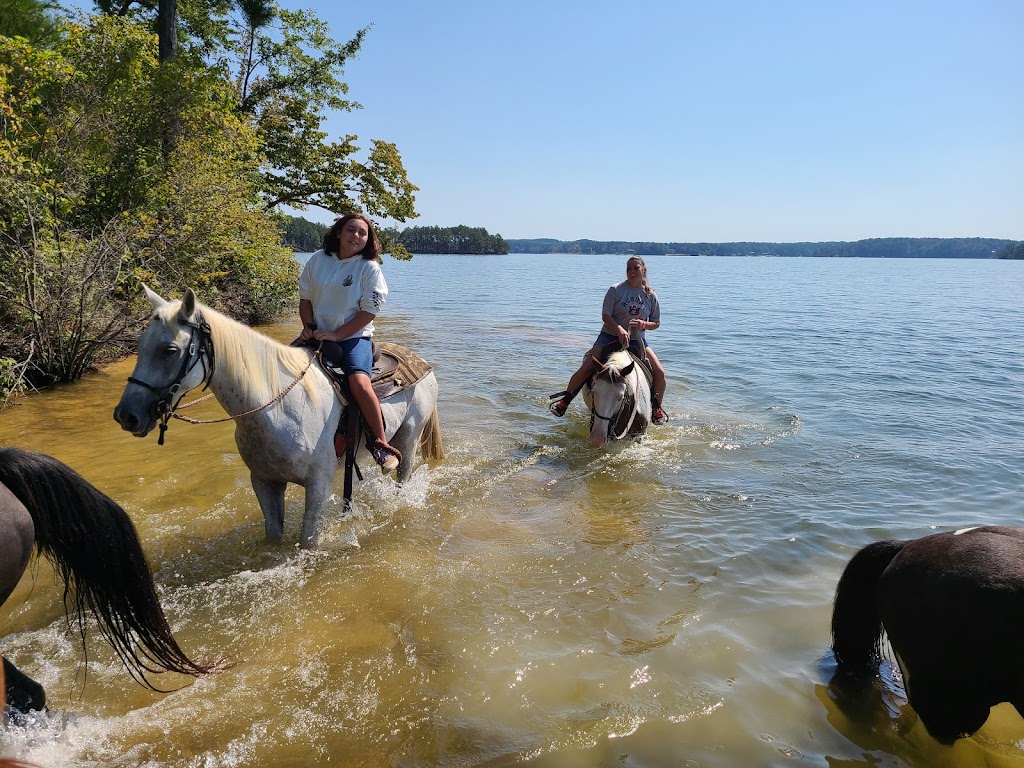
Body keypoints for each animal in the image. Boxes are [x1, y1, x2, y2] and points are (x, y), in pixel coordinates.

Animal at [114, 286, 442, 548]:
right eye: (139, 345)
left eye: (170, 350)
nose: (126, 416)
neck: (277, 409)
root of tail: (421, 363)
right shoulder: (264, 482)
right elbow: (273, 535)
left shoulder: (318, 485)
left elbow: (308, 541)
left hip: (408, 439)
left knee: (402, 476)